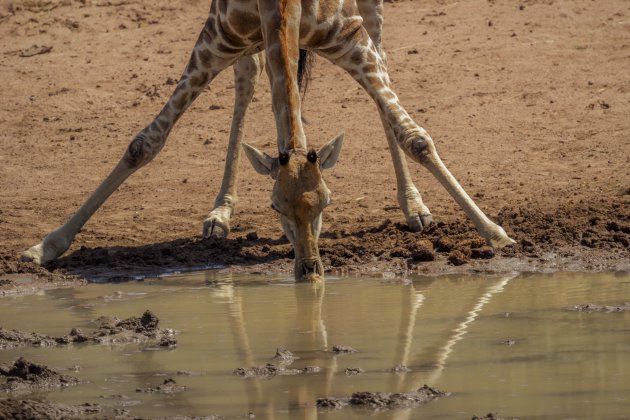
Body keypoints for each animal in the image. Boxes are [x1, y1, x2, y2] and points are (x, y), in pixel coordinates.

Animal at [22, 0, 516, 282]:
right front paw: (46, 245)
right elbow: (145, 142)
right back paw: (220, 213)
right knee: (249, 74)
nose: (309, 271)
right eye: (274, 206)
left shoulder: (349, 38)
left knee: (383, 52)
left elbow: (415, 136)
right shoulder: (215, 37)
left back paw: (414, 207)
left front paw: (497, 235)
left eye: (327, 202)